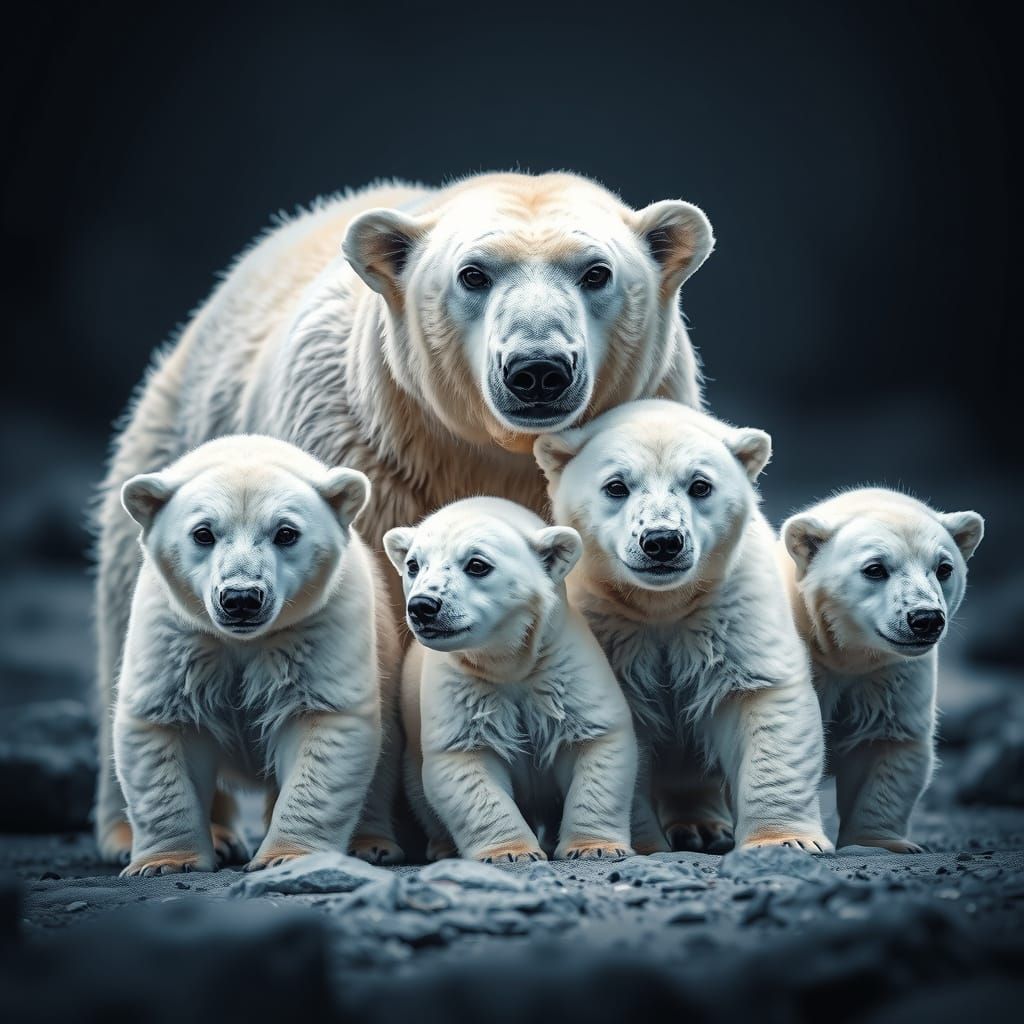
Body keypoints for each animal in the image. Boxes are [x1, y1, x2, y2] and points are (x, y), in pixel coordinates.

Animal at [112, 434, 400, 875]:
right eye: (202, 532)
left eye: (286, 532)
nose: (241, 598)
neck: (244, 639)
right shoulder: (178, 631)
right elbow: (164, 725)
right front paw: (166, 863)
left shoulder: (318, 623)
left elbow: (323, 723)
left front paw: (288, 856)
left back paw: (372, 844)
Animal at [383, 498, 637, 863]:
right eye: (414, 564)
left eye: (477, 564)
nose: (423, 606)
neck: (510, 665)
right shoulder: (463, 684)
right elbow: (464, 761)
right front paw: (510, 852)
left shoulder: (561, 665)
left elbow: (596, 741)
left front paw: (596, 847)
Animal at [535, 400, 832, 854]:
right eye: (616, 486)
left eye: (700, 485)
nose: (662, 541)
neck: (661, 604)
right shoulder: (606, 625)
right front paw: (643, 845)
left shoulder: (733, 604)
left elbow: (763, 698)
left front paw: (785, 840)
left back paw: (703, 827)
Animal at [779, 488, 985, 853]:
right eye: (875, 568)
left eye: (944, 567)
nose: (925, 618)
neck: (843, 652)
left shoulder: (893, 672)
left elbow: (887, 742)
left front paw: (880, 842)